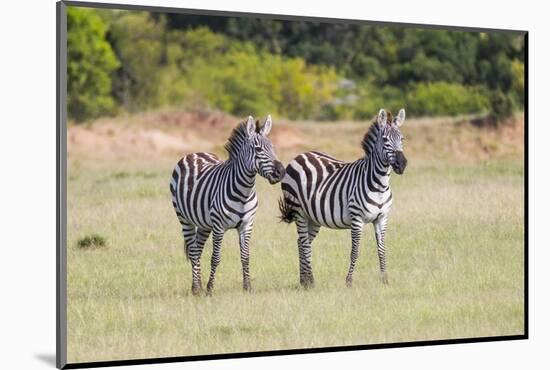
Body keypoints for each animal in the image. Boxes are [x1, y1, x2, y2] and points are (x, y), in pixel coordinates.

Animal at [170, 115, 286, 294]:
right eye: (258, 149)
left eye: (273, 148)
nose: (281, 172)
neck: (243, 192)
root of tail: (194, 153)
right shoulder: (219, 226)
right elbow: (216, 258)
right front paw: (210, 289)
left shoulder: (247, 225)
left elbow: (245, 257)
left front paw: (247, 287)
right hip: (184, 219)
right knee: (194, 251)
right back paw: (196, 289)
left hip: (204, 224)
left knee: (198, 249)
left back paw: (198, 286)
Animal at [282, 108, 408, 288]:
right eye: (385, 140)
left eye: (402, 139)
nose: (401, 164)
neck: (380, 185)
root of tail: (301, 155)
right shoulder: (357, 219)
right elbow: (355, 251)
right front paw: (349, 281)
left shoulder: (382, 218)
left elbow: (382, 250)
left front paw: (385, 280)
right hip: (299, 212)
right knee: (304, 244)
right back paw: (309, 282)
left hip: (312, 217)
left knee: (301, 242)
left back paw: (304, 280)